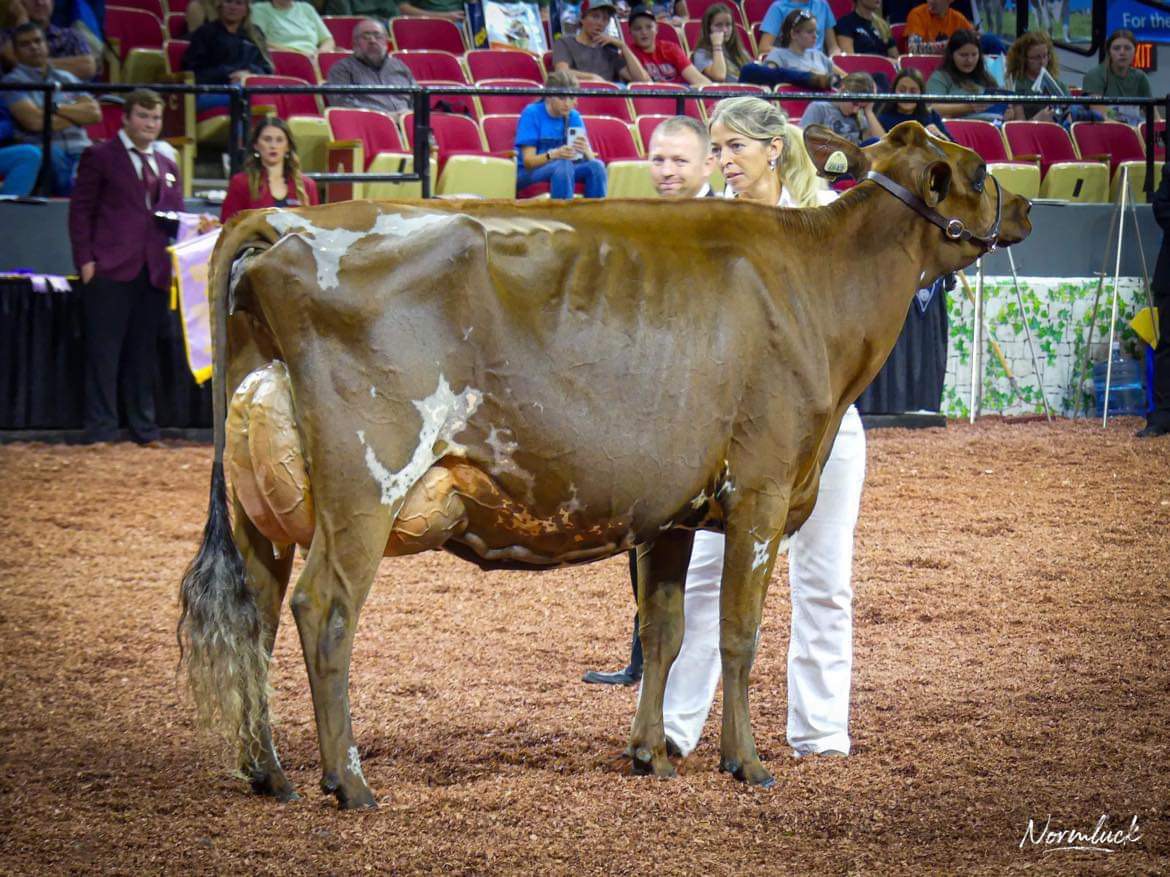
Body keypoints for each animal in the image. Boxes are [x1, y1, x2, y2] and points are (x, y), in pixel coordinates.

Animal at [178, 122, 1031, 809]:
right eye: (979, 166)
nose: (1024, 206)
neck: (818, 284)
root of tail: (286, 223)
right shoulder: (761, 489)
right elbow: (739, 632)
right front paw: (746, 762)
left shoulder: (674, 510)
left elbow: (666, 629)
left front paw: (651, 753)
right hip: (365, 484)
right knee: (324, 609)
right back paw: (348, 781)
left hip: (263, 503)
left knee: (256, 611)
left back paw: (269, 773)